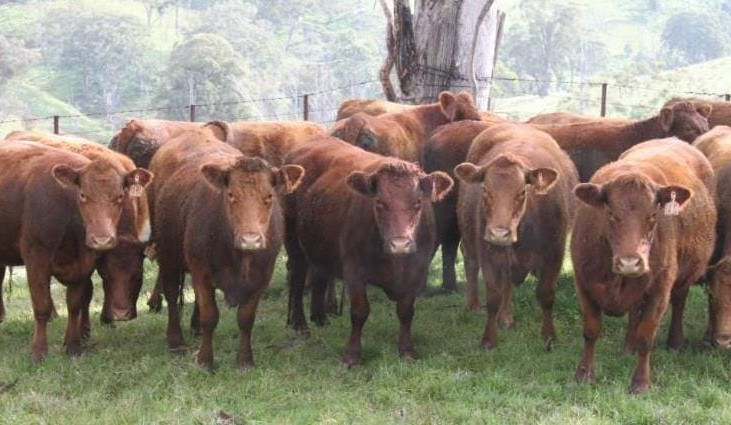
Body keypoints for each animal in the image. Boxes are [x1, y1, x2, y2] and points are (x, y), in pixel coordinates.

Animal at [0, 141, 152, 360]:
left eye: (120, 196)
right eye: (82, 195)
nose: (102, 239)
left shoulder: (84, 264)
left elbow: (74, 304)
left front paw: (73, 346)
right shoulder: (36, 258)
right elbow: (41, 306)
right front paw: (39, 351)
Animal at [150, 131, 304, 369]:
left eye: (269, 196)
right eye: (231, 195)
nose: (251, 239)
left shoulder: (262, 276)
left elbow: (246, 318)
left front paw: (245, 360)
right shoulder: (201, 272)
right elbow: (210, 316)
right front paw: (205, 360)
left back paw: (194, 328)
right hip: (167, 256)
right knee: (171, 293)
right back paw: (176, 342)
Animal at [284, 136, 453, 367]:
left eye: (418, 202)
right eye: (380, 202)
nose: (400, 244)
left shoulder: (416, 271)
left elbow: (406, 311)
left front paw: (407, 350)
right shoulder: (354, 271)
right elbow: (359, 311)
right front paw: (352, 354)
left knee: (319, 276)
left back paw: (320, 317)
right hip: (294, 242)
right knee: (298, 278)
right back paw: (300, 324)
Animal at [454, 123, 578, 349]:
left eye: (522, 192)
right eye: (485, 190)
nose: (499, 233)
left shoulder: (555, 253)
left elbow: (546, 294)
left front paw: (549, 336)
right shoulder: (488, 253)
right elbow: (493, 296)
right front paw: (489, 339)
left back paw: (506, 316)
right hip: (471, 241)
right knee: (471, 264)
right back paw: (475, 305)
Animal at [571, 137, 715, 393]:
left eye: (653, 215)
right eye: (610, 213)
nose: (630, 262)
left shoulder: (660, 291)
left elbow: (646, 337)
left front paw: (640, 382)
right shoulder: (583, 283)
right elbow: (591, 330)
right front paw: (584, 374)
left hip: (683, 277)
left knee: (679, 302)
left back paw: (675, 341)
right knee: (633, 312)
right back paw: (627, 346)